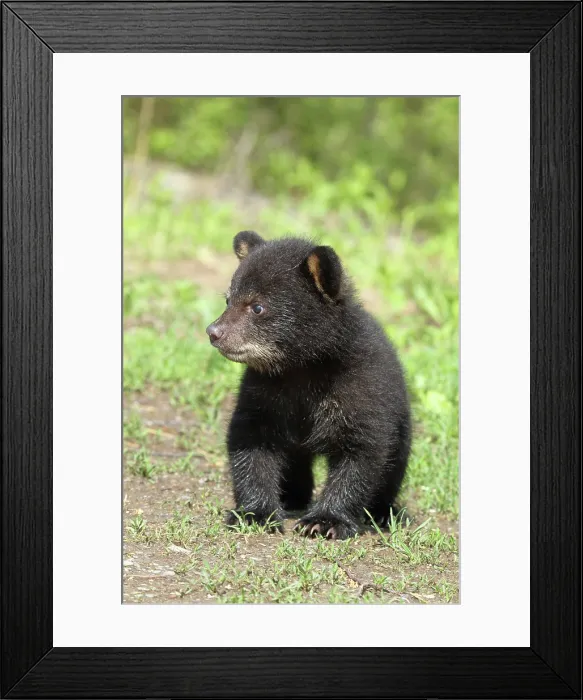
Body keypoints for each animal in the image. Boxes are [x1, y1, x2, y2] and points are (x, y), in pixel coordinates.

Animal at [205, 230, 411, 540]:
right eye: (228, 300)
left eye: (257, 306)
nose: (213, 332)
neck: (303, 368)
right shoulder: (263, 391)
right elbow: (250, 441)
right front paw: (254, 513)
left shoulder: (361, 387)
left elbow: (361, 451)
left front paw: (325, 521)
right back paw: (292, 497)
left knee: (394, 464)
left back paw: (383, 512)